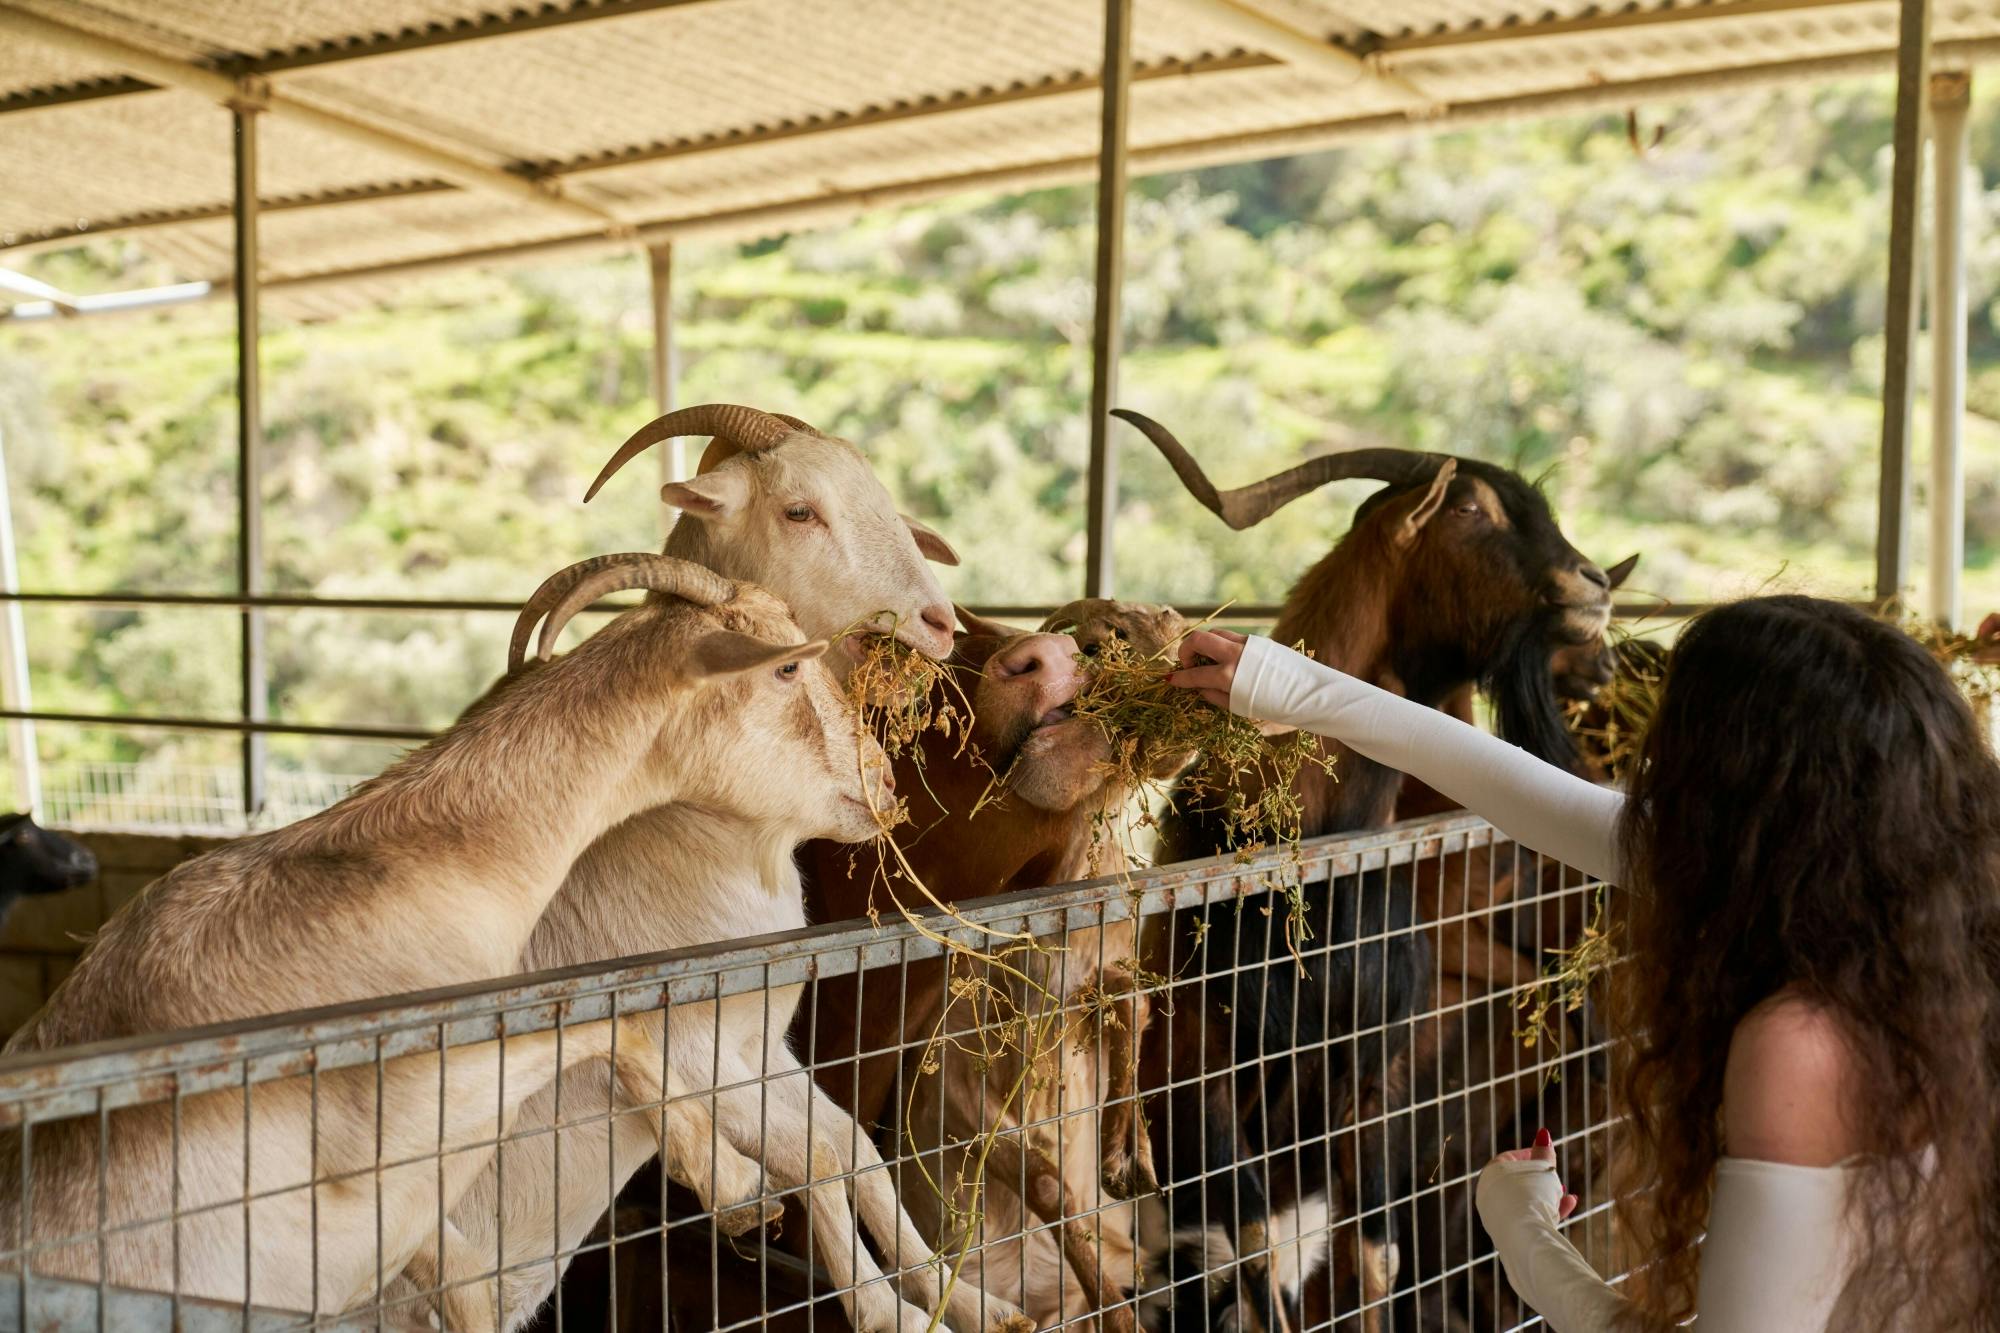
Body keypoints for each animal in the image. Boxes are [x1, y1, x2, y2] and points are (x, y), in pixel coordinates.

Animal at [1120, 410, 1616, 1328]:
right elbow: (1257, 1262)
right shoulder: (1205, 1074)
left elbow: (1377, 1254)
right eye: (1472, 509)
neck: (1317, 854)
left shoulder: (1375, 1073)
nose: (1595, 583)